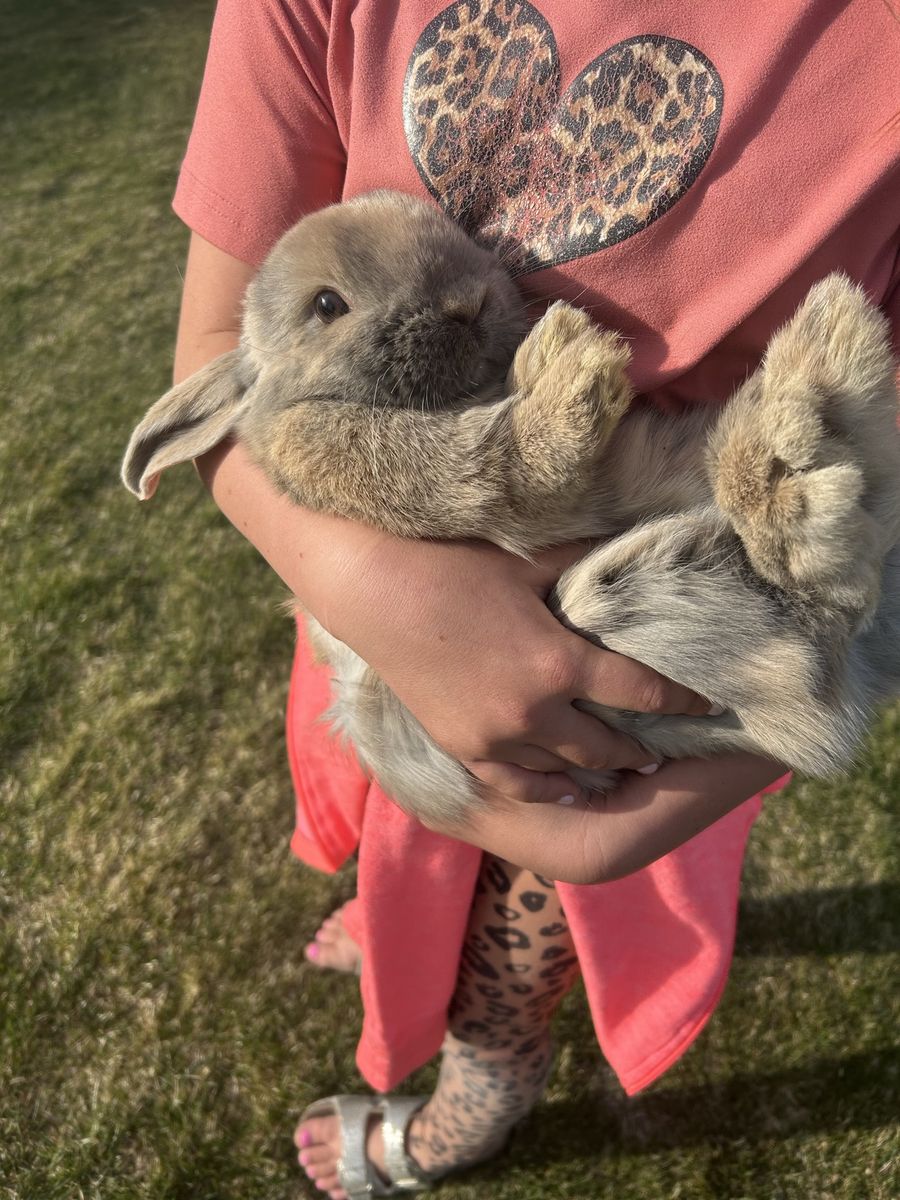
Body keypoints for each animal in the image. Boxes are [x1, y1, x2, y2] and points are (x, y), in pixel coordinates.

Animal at [123, 190, 900, 832]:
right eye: (325, 306)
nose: (467, 301)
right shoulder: (364, 460)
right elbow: (500, 471)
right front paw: (578, 366)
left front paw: (562, 354)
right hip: (630, 615)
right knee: (823, 592)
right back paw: (815, 385)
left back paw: (826, 359)